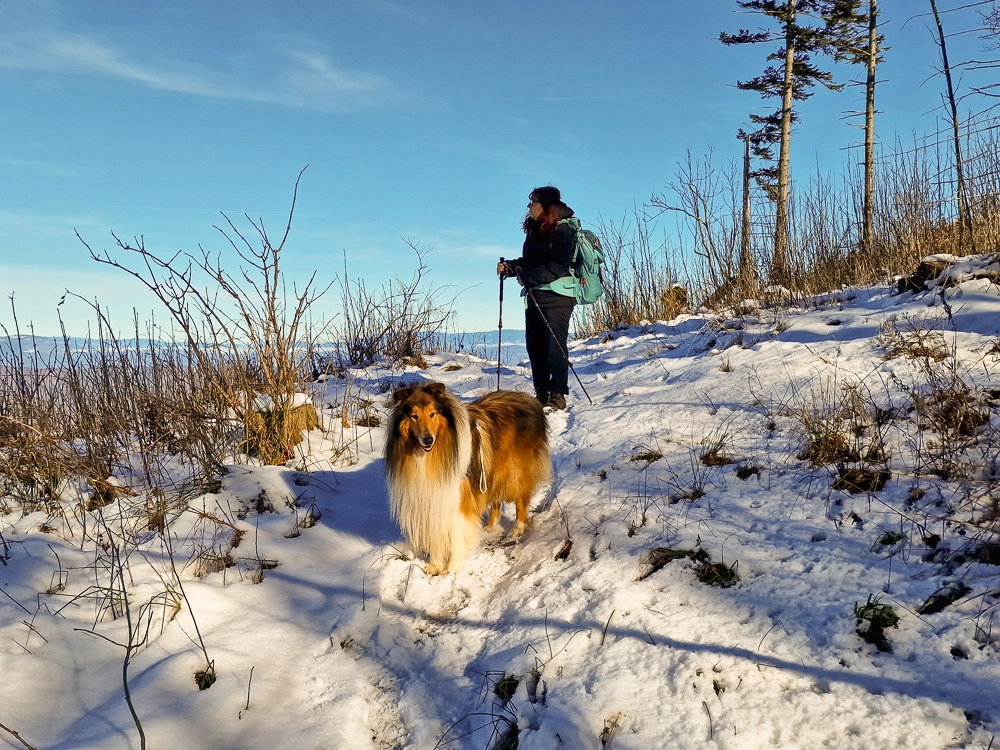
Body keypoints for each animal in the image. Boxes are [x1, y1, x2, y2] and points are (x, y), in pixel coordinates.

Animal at [384, 382, 556, 576]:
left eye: (432, 414)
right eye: (414, 416)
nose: (428, 440)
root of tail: (530, 399)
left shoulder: (457, 497)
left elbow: (455, 535)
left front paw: (451, 568)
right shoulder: (431, 496)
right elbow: (435, 533)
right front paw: (435, 565)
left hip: (515, 472)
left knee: (521, 500)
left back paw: (517, 529)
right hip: (491, 469)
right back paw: (490, 526)